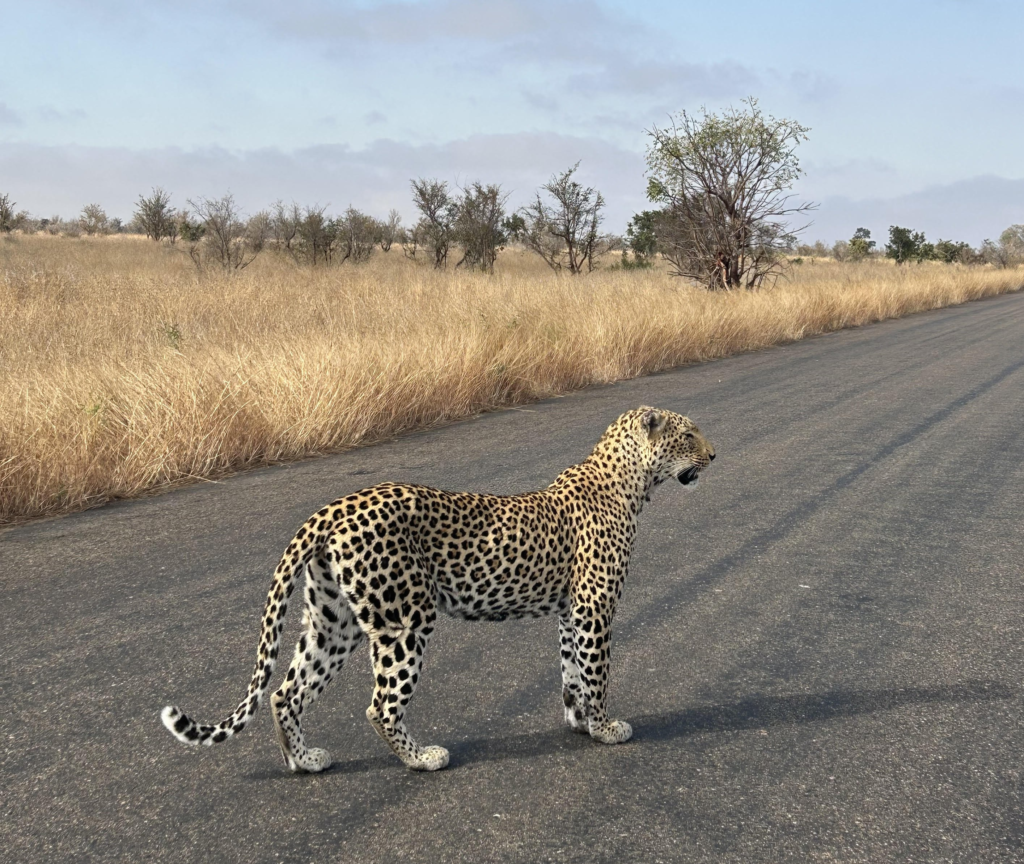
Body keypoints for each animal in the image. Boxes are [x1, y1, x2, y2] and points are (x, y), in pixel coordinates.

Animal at [161, 406, 715, 773]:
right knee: (380, 704)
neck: (633, 482)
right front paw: (604, 728)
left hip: (334, 623)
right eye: (689, 434)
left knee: (285, 691)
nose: (714, 454)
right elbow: (595, 671)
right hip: (403, 621)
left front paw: (579, 721)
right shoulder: (594, 607)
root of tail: (331, 508)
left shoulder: (569, 610)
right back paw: (421, 758)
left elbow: (572, 671)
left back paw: (303, 760)